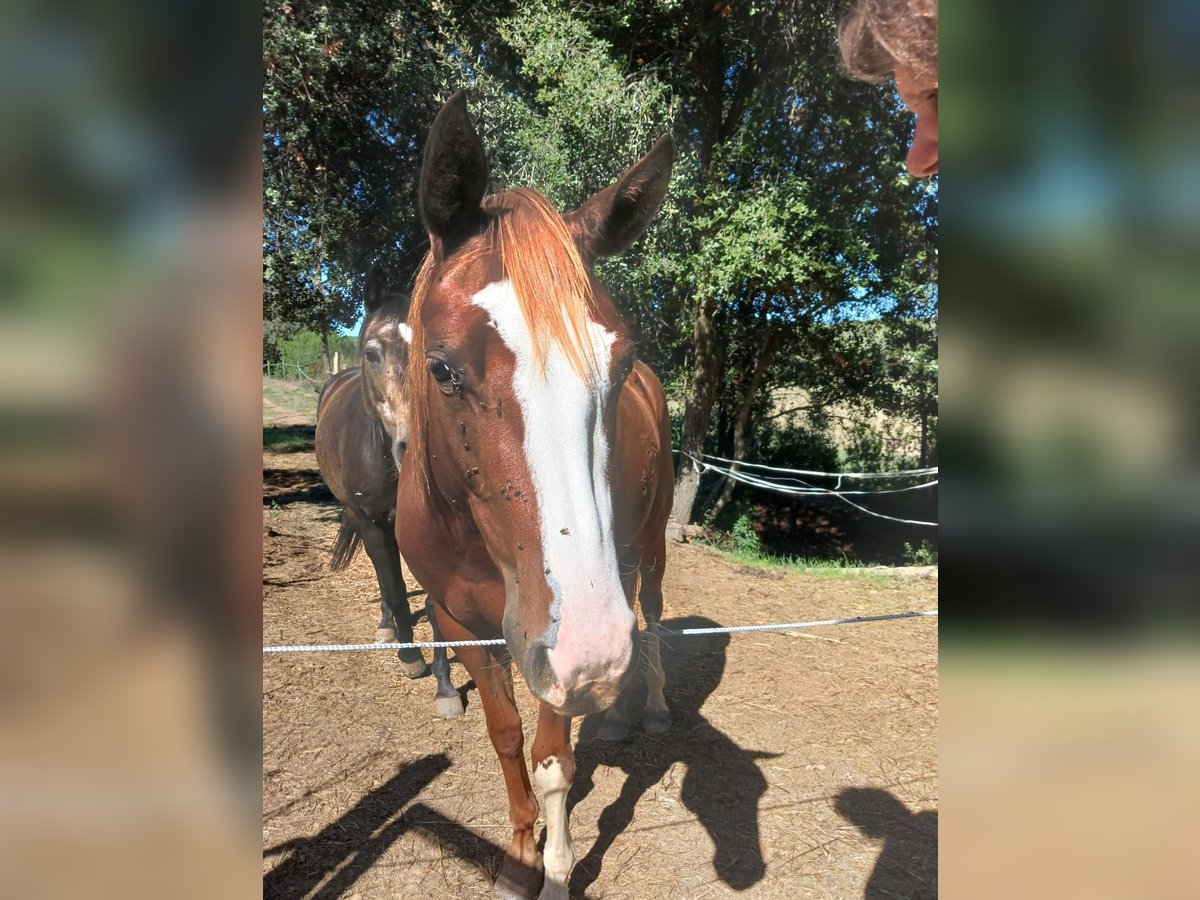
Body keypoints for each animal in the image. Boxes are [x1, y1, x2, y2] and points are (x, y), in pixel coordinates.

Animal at [314, 274, 463, 720]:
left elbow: (433, 603)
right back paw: (389, 629)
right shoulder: (373, 521)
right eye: (372, 352)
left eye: (436, 360)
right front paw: (411, 657)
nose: (413, 449)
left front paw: (445, 686)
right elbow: (396, 589)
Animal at [393, 93, 676, 900]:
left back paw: (649, 707)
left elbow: (553, 763)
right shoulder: (460, 620)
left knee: (652, 614)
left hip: (647, 551)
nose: (595, 653)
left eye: (621, 360)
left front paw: (553, 869)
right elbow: (504, 737)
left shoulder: (556, 648)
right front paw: (518, 856)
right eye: (442, 368)